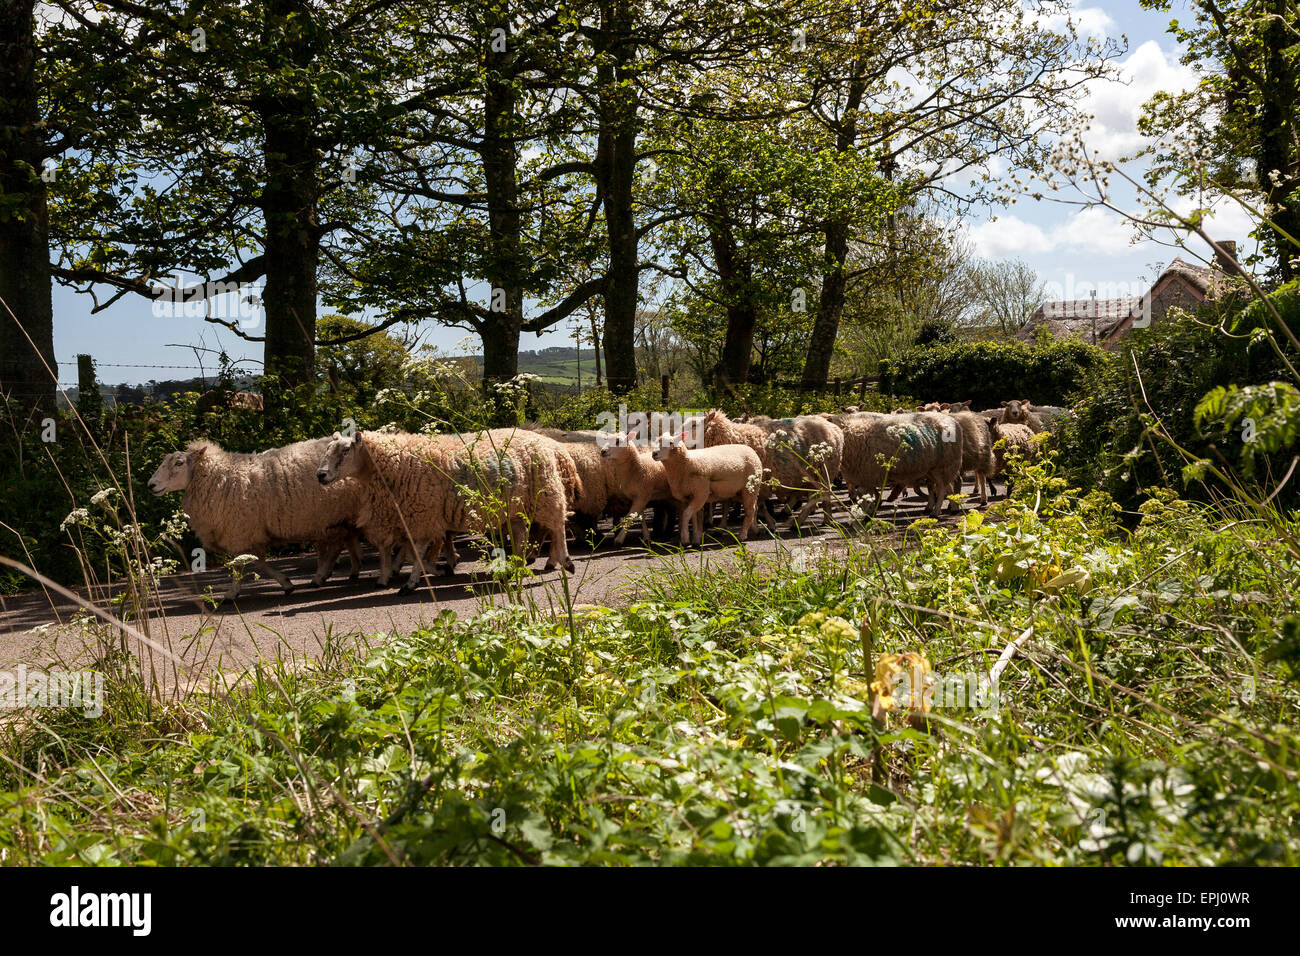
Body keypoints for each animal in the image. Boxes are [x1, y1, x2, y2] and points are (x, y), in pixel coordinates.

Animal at [146, 439, 361, 598]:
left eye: (179, 463)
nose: (151, 485)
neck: (220, 477)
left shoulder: (239, 532)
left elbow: (240, 565)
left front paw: (231, 594)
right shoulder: (248, 534)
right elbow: (259, 562)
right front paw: (286, 583)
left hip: (335, 515)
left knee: (337, 545)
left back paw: (324, 576)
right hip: (336, 518)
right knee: (340, 543)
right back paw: (337, 574)